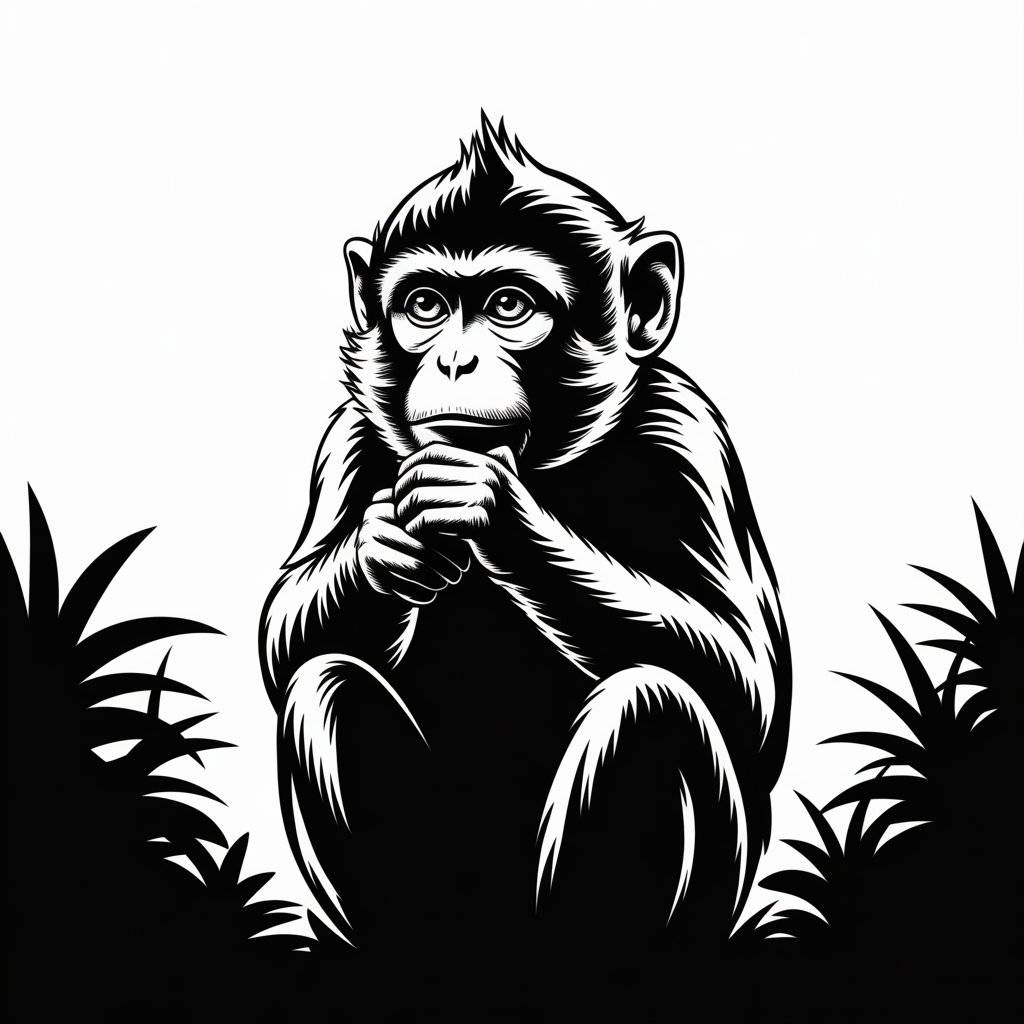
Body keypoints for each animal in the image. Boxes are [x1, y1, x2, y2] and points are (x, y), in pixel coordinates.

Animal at [258, 114, 791, 965]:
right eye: (425, 305)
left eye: (510, 305)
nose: (454, 358)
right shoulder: (345, 437)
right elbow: (283, 639)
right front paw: (381, 548)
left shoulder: (689, 431)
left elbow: (748, 681)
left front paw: (493, 509)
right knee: (324, 686)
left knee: (653, 703)